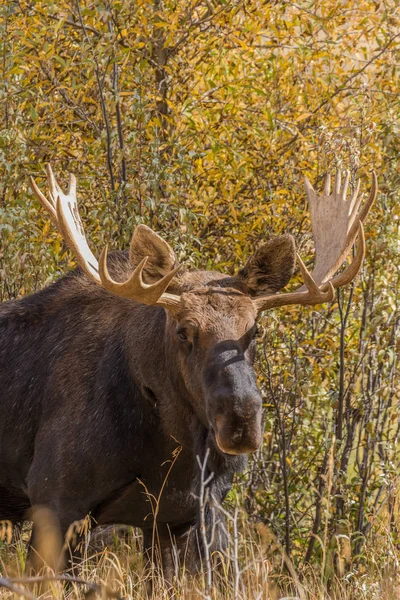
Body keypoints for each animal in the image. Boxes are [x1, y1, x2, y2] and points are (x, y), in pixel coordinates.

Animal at [0, 166, 376, 580]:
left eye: (255, 330)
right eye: (183, 331)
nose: (240, 418)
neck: (172, 444)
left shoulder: (176, 517)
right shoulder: (56, 501)